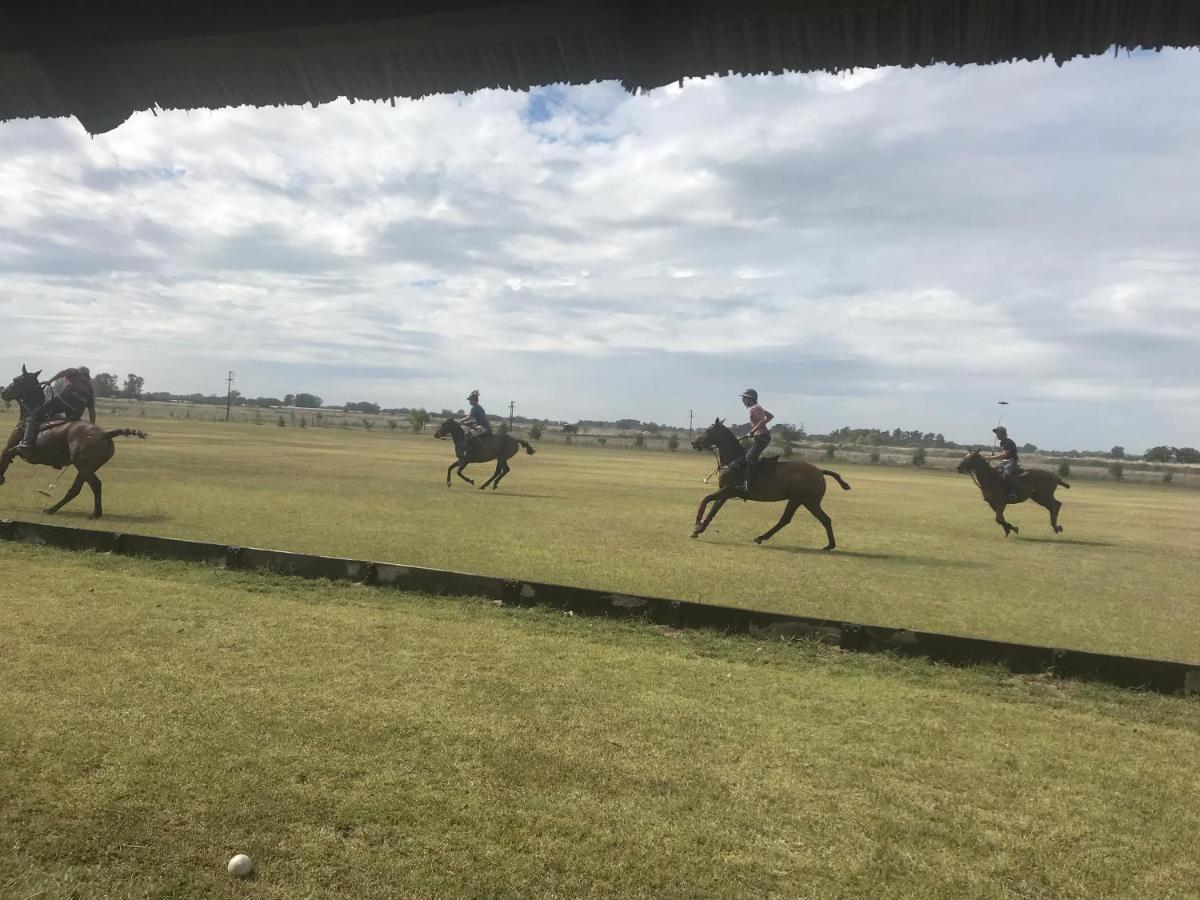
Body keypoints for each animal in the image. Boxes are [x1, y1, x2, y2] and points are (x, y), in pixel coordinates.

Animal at [1, 367, 146, 520]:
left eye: (16, 380)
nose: (3, 392)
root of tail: (105, 434)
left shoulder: (10, 449)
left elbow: (4, 461)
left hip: (84, 466)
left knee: (94, 485)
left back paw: (91, 513)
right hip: (87, 468)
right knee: (77, 489)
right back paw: (55, 509)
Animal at [691, 422, 849, 549]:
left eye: (708, 430)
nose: (693, 442)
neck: (733, 462)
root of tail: (820, 471)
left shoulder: (728, 490)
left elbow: (706, 500)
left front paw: (696, 526)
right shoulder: (724, 493)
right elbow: (713, 510)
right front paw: (698, 530)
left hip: (797, 499)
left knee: (785, 519)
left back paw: (760, 537)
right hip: (810, 502)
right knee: (825, 519)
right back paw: (830, 545)